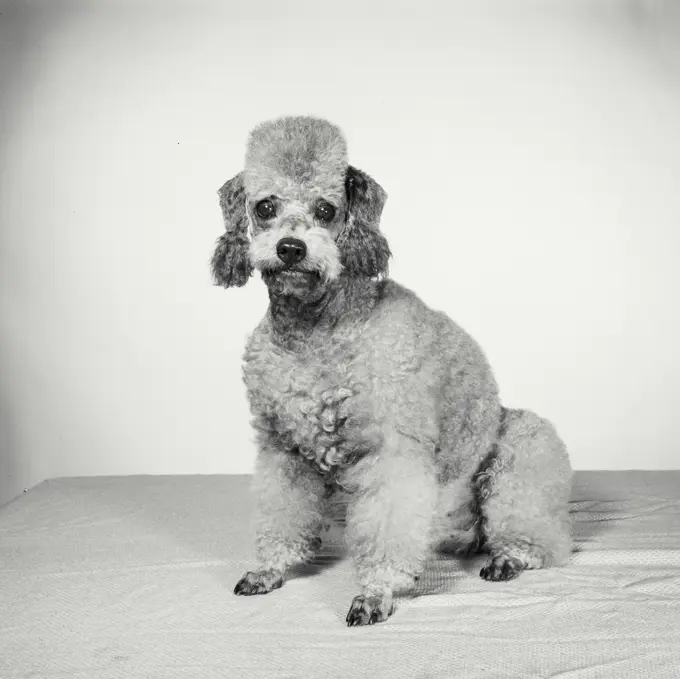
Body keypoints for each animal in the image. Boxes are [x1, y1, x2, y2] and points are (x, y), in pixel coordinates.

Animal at [212, 115, 572, 628]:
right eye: (265, 206)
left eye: (326, 209)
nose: (291, 249)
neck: (317, 329)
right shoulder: (282, 448)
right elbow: (282, 512)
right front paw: (270, 568)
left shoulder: (393, 450)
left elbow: (387, 527)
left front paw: (375, 592)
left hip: (521, 445)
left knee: (538, 537)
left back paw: (509, 557)